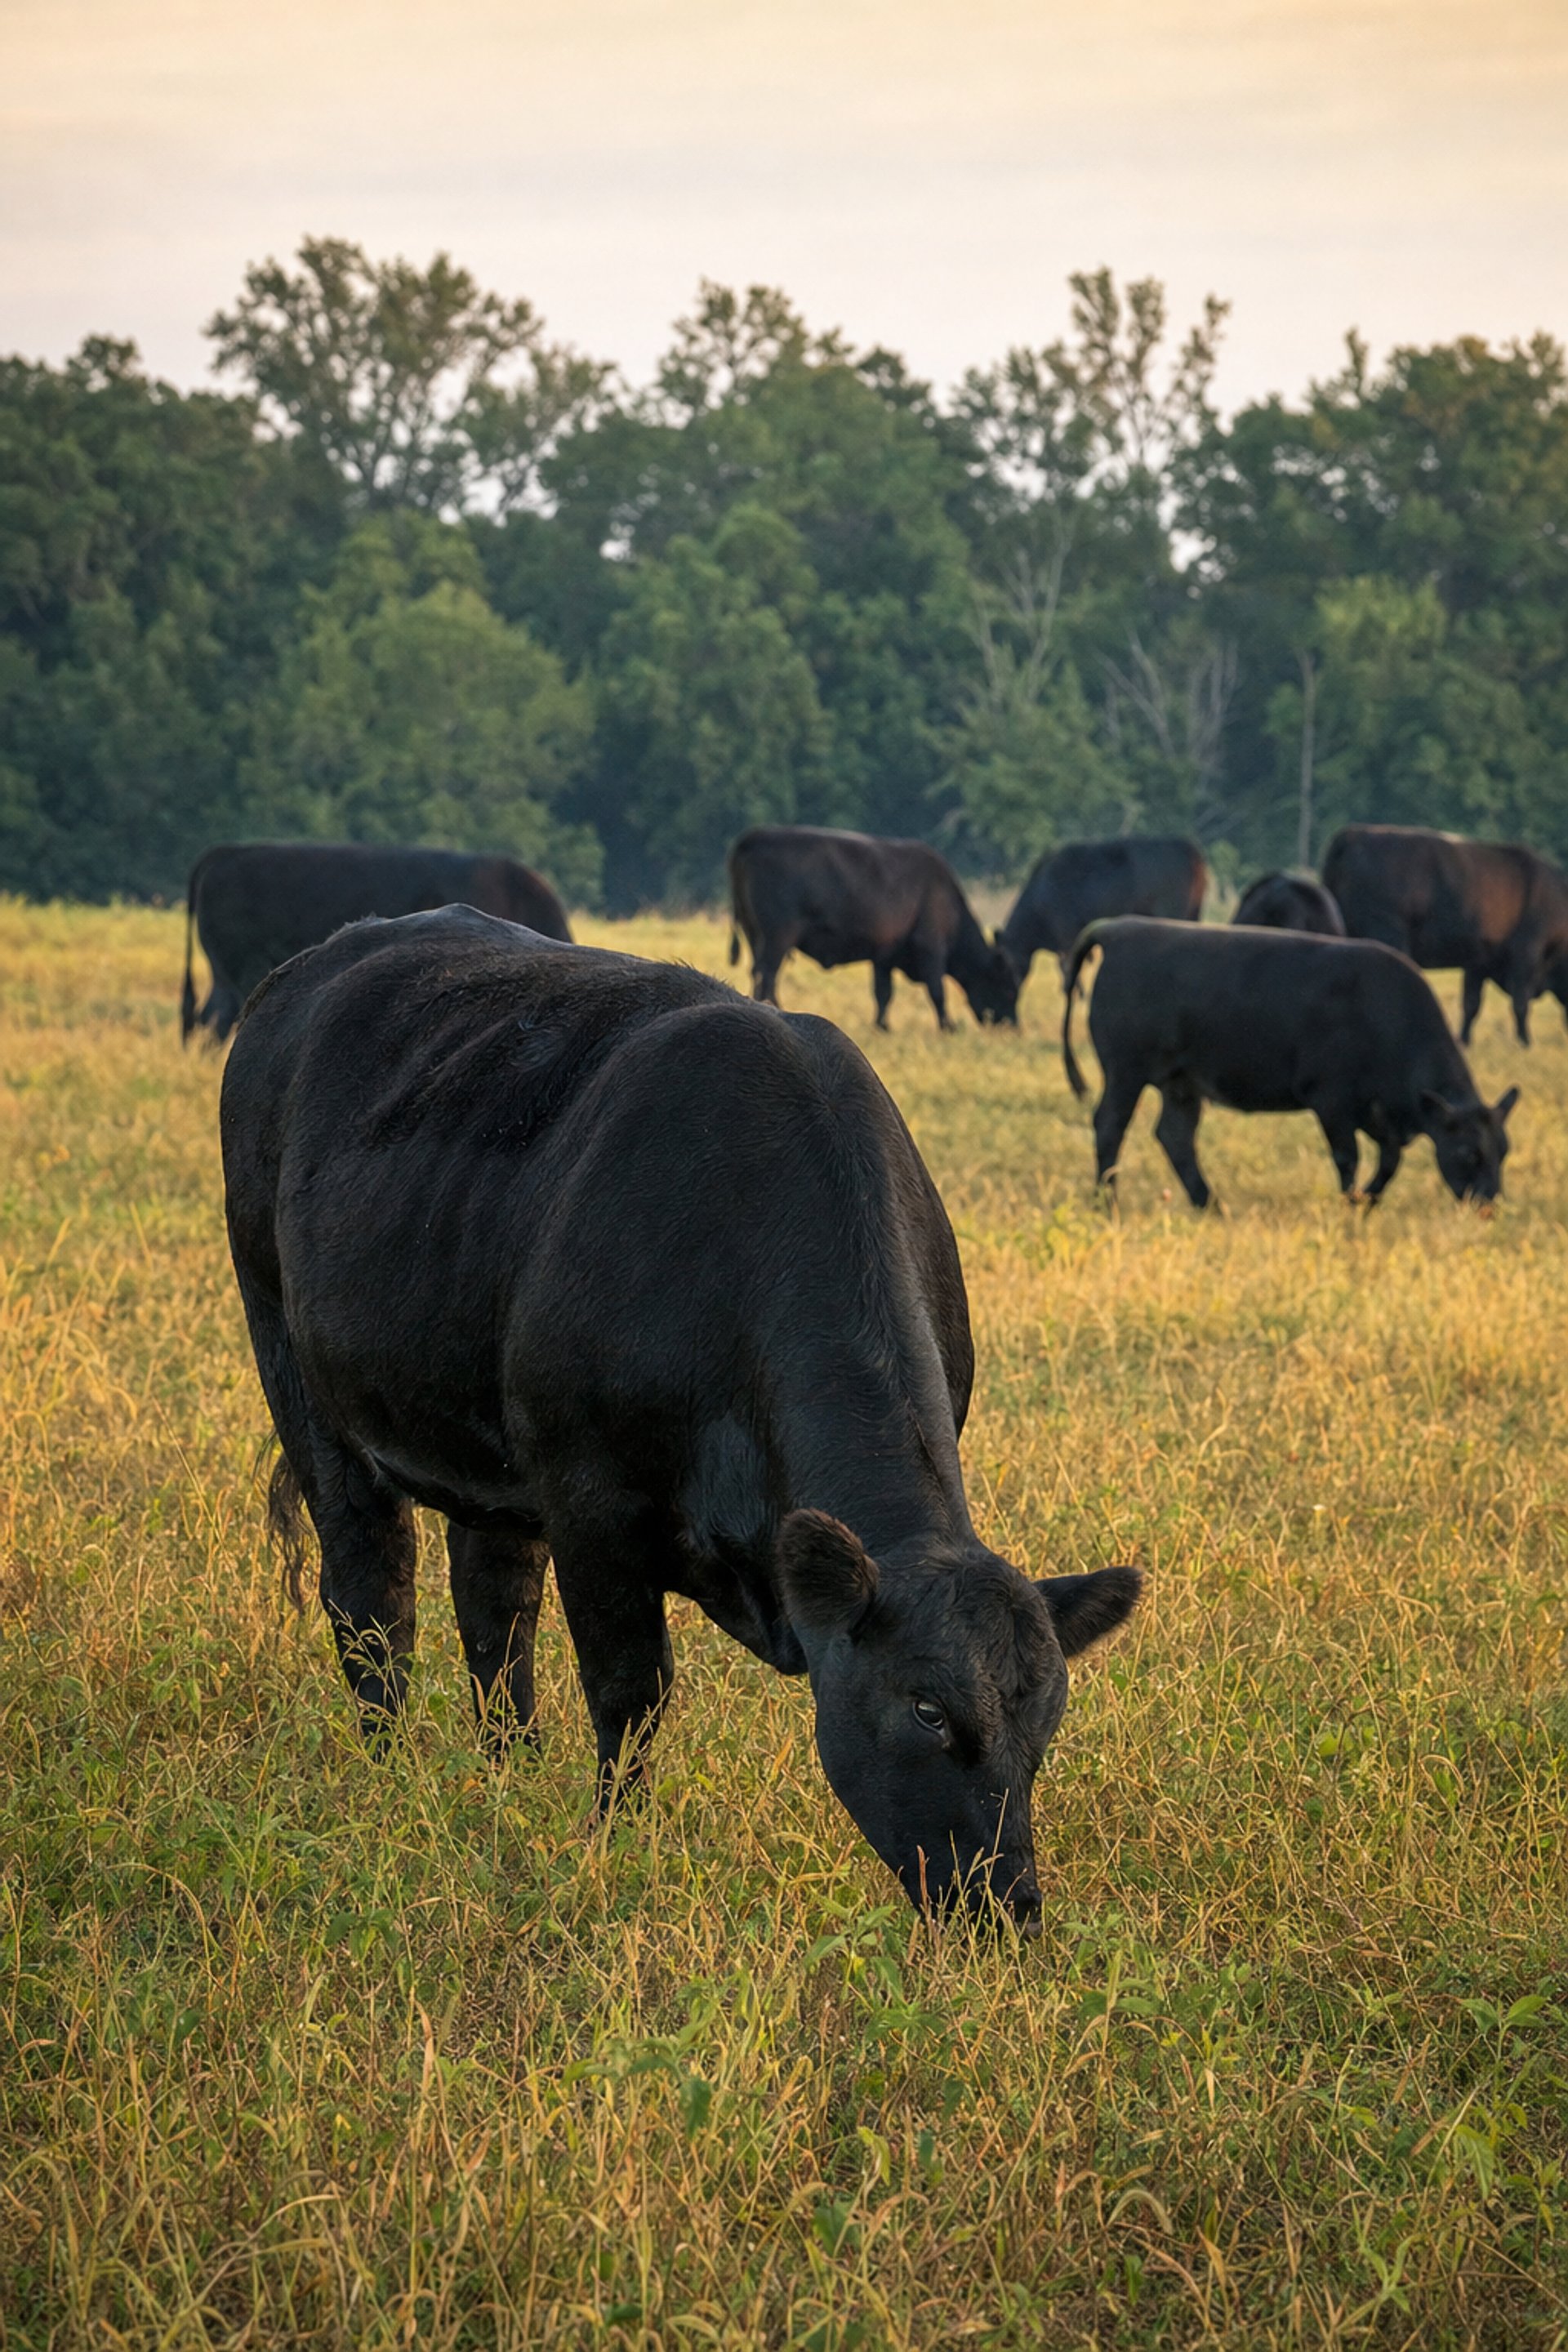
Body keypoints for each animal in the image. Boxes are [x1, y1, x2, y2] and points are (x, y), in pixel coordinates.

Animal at [221, 907, 1139, 1929]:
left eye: (1046, 1722)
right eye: (929, 1711)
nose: (1007, 1902)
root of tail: (310, 969)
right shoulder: (591, 1505)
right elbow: (631, 1688)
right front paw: (611, 1847)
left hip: (486, 1442)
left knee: (493, 1605)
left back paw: (509, 1776)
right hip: (296, 1368)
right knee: (373, 1599)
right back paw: (394, 1779)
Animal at [727, 826, 1018, 1031]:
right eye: (1007, 988)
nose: (1012, 1026)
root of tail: (753, 837)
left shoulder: (884, 957)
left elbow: (883, 993)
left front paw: (883, 1026)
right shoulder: (931, 949)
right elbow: (937, 991)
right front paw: (949, 1027)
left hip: (756, 935)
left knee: (760, 971)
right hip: (779, 936)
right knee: (768, 972)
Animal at [1061, 917, 1518, 1209]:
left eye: (1504, 1150)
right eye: (1469, 1152)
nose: (1490, 1204)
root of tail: (1120, 929)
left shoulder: (1375, 1112)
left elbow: (1389, 1160)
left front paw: (1367, 1200)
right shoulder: (1331, 1099)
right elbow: (1348, 1157)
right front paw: (1350, 1203)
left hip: (1182, 1083)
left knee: (1175, 1136)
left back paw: (1210, 1205)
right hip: (1126, 1073)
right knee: (1110, 1127)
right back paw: (1107, 1203)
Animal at [1322, 824, 1568, 1047]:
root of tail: (1354, 835)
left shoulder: (1478, 963)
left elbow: (1471, 1004)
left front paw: (1464, 1041)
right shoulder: (1525, 956)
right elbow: (1520, 1003)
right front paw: (1525, 1043)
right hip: (1389, 937)